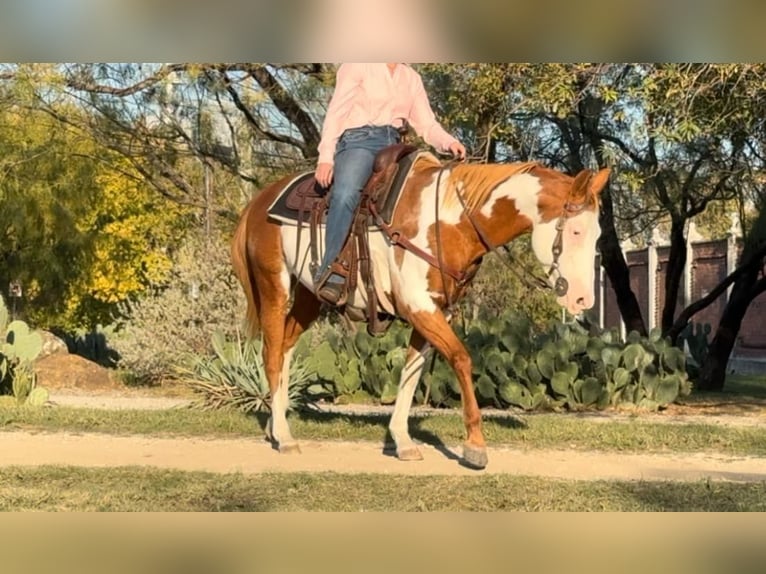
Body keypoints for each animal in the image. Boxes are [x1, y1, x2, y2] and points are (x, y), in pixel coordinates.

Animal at [231, 152, 610, 469]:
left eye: (596, 235)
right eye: (576, 230)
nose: (583, 301)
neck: (451, 220)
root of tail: (258, 202)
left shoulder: (434, 311)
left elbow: (411, 373)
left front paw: (403, 441)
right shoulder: (420, 307)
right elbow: (460, 359)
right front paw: (475, 445)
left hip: (310, 296)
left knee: (285, 347)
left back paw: (275, 425)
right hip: (273, 287)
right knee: (271, 353)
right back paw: (284, 436)